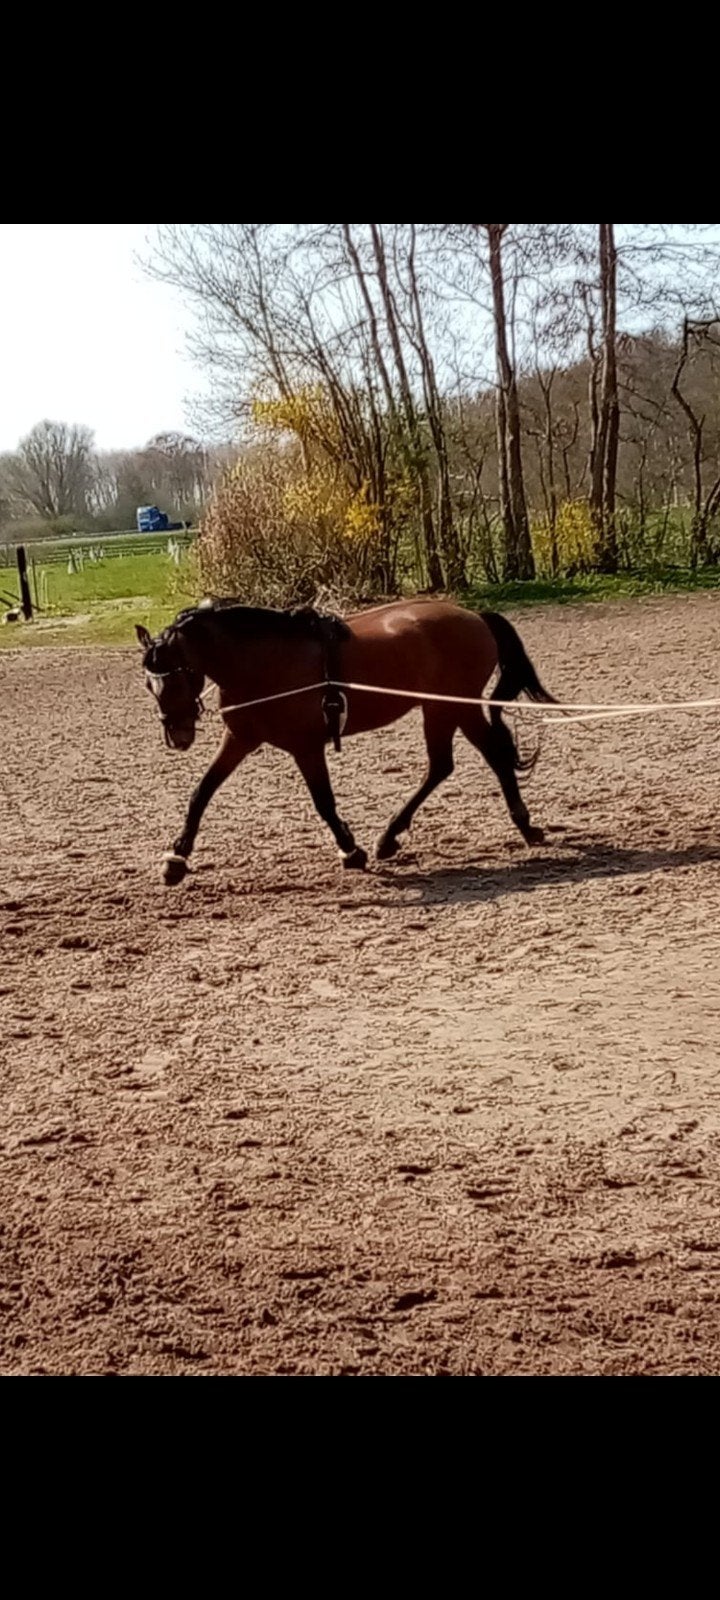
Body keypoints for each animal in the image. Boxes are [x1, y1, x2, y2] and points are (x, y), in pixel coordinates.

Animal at [135, 597, 556, 885]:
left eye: (177, 677)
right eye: (149, 684)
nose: (177, 735)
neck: (264, 661)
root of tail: (474, 616)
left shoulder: (306, 747)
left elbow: (323, 801)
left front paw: (351, 850)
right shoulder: (240, 738)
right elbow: (201, 793)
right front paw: (176, 859)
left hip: (450, 707)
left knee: (473, 759)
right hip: (446, 709)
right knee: (457, 763)